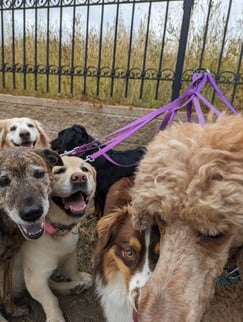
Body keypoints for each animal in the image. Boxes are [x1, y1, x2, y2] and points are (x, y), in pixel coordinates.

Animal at [0, 147, 62, 320]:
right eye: (3, 181)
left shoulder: (8, 260)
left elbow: (7, 290)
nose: (32, 213)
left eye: (39, 174)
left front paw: (13, 311)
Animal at [13, 156, 96, 322]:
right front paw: (55, 318)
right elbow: (50, 299)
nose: (79, 178)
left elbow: (72, 269)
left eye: (85, 169)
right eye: (59, 171)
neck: (57, 229)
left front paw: (79, 279)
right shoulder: (35, 277)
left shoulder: (70, 252)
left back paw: (73, 287)